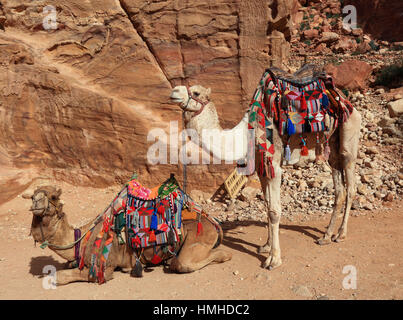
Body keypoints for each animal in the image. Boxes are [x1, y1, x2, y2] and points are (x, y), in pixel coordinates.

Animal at [22, 184, 230, 286]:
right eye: (32, 196)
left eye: (53, 197)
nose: (36, 203)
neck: (81, 240)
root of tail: (212, 222)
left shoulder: (104, 268)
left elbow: (60, 276)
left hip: (199, 234)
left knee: (184, 264)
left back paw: (223, 255)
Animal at [170, 65, 362, 270]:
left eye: (196, 92)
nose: (174, 91)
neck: (246, 134)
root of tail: (346, 101)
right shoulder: (262, 168)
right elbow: (268, 206)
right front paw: (266, 246)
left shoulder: (274, 166)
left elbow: (274, 211)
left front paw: (273, 259)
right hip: (332, 147)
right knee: (339, 190)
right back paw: (325, 236)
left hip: (349, 139)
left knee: (351, 186)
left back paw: (340, 234)